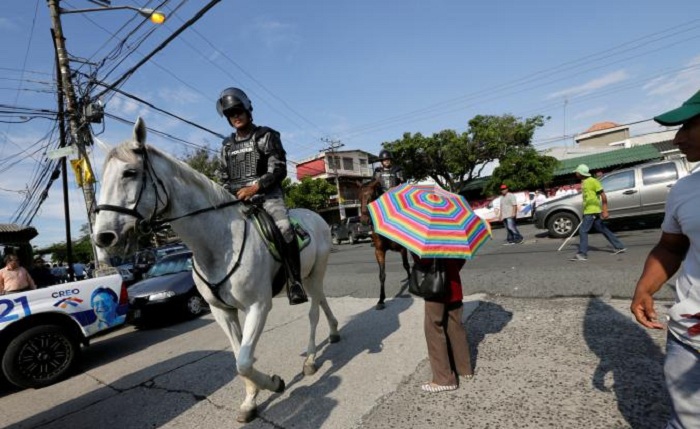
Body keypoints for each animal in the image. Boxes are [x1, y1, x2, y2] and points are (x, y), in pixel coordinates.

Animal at [94, 117, 340, 422]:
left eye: (129, 173)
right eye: (102, 178)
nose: (103, 237)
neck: (217, 245)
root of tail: (316, 216)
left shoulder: (259, 305)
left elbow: (244, 362)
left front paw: (273, 383)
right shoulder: (222, 311)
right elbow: (238, 357)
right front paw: (250, 401)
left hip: (315, 273)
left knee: (313, 312)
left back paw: (310, 360)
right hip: (307, 276)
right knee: (322, 301)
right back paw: (334, 332)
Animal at [360, 179, 410, 310]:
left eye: (371, 196)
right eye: (359, 197)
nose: (364, 221)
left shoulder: (403, 249)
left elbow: (406, 265)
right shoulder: (379, 251)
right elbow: (382, 275)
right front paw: (381, 300)